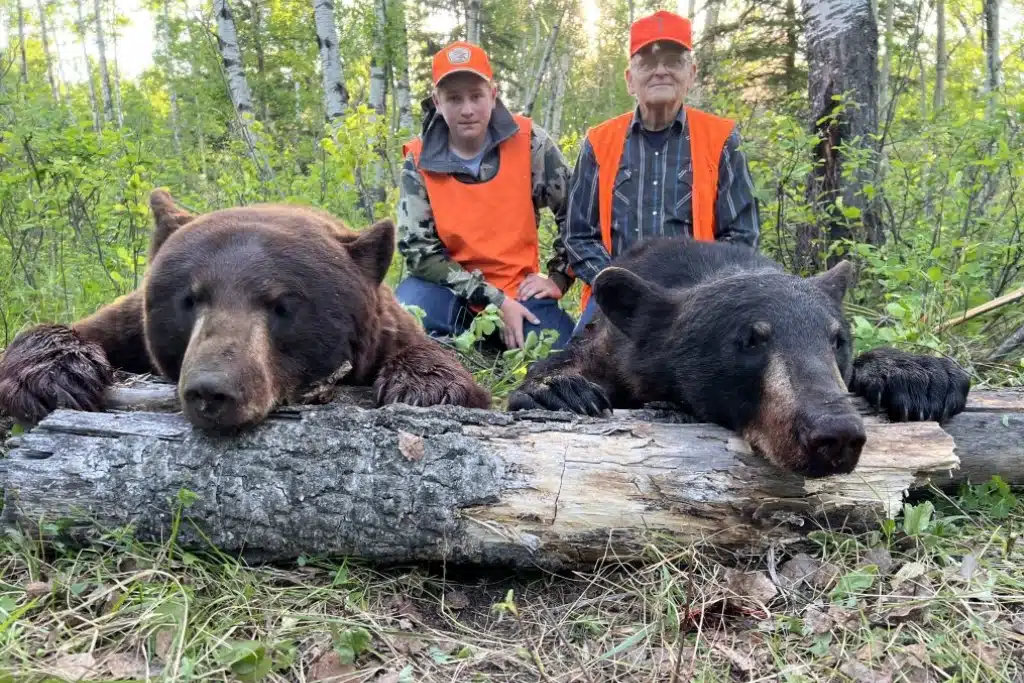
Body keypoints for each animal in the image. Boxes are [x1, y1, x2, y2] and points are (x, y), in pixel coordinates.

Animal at [0, 189, 491, 430]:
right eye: (190, 299)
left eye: (282, 305)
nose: (211, 391)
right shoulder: (131, 325)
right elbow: (72, 330)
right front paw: (50, 377)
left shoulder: (387, 330)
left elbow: (429, 355)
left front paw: (424, 389)